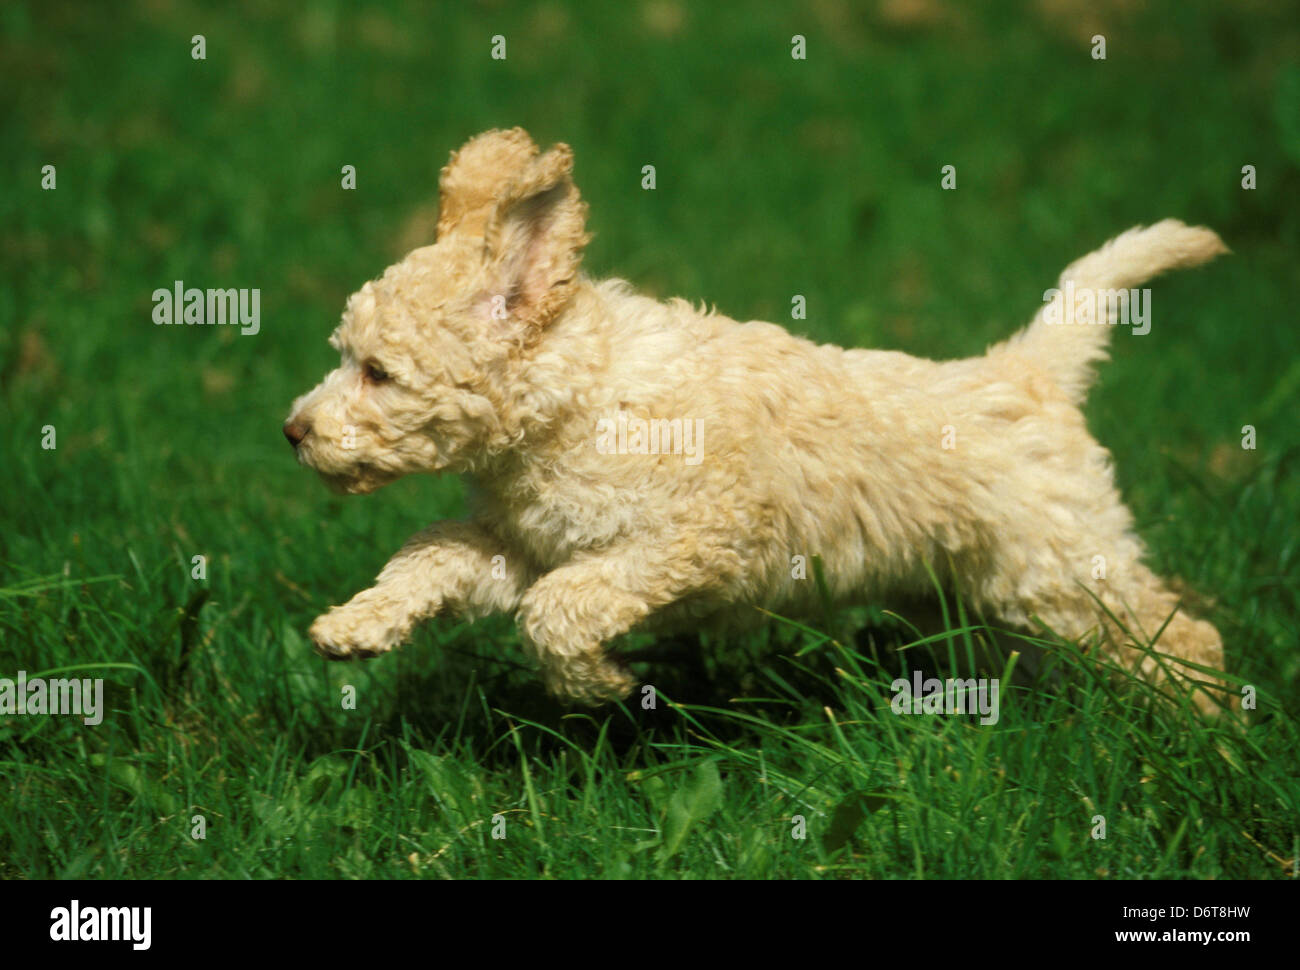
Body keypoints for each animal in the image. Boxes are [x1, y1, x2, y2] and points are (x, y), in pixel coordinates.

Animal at [284, 126, 1227, 702]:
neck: (580, 398)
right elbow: (435, 552)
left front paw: (601, 684)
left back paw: (1209, 736)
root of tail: (1028, 370)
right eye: (344, 355)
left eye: (379, 373)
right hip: (970, 588)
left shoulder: (693, 536)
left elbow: (558, 608)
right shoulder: (526, 540)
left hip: (1061, 569)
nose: (292, 432)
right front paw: (355, 626)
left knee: (1184, 638)